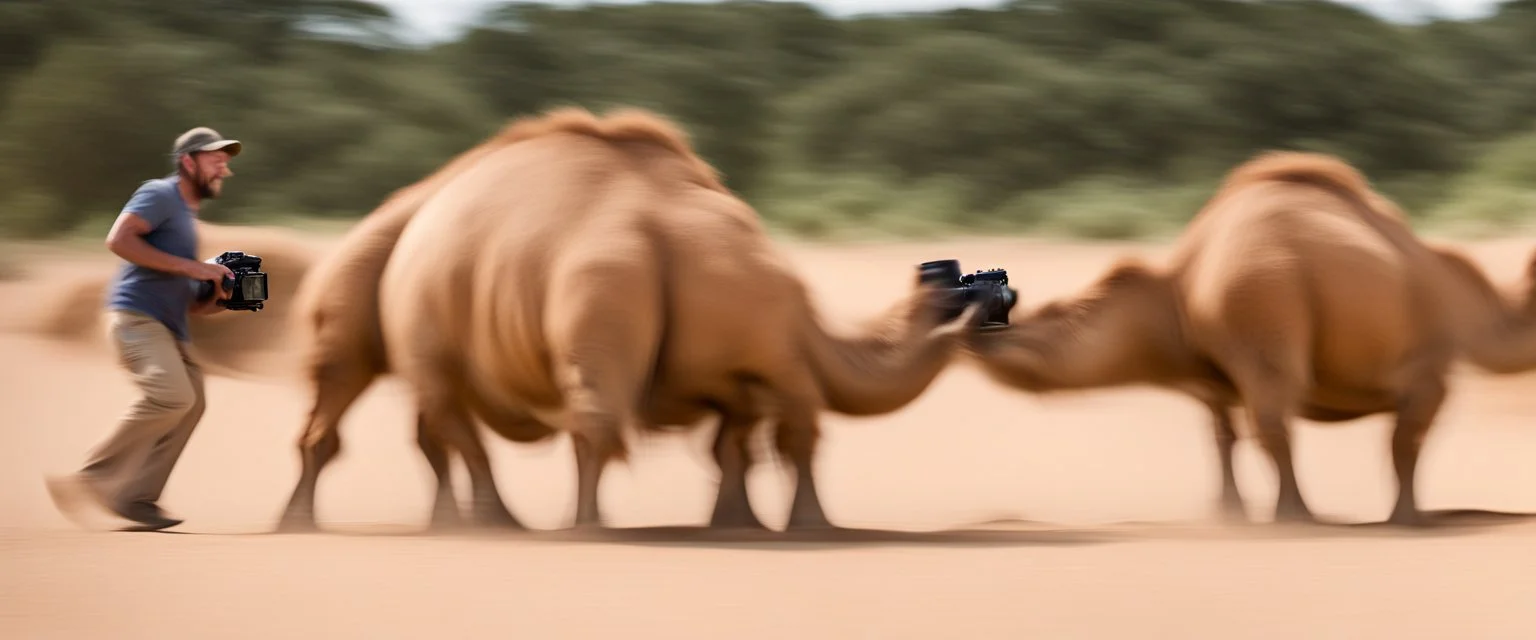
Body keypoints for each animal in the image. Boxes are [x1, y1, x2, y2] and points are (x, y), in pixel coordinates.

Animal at [375, 106, 986, 532]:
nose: (980, 314)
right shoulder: (777, 353)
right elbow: (792, 433)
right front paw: (798, 525)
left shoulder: (743, 360)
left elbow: (737, 441)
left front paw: (740, 526)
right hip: (578, 278)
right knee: (466, 402)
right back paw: (560, 529)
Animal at [964, 150, 1536, 527]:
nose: (970, 326)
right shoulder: (1428, 366)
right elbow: (1402, 441)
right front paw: (1409, 519)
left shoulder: (1211, 372)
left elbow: (1224, 433)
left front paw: (1229, 515)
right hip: (1267, 293)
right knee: (1276, 415)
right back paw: (1298, 518)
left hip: (1264, 299)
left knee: (1271, 416)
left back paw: (1295, 516)